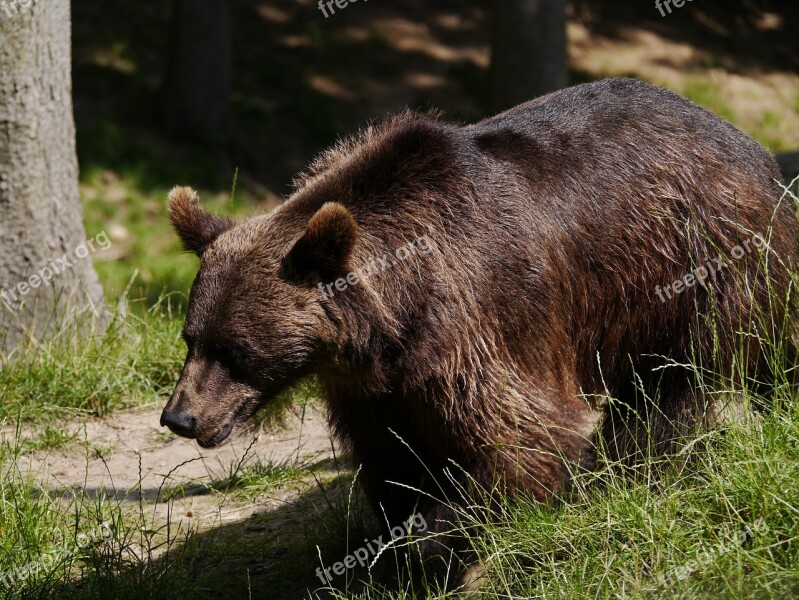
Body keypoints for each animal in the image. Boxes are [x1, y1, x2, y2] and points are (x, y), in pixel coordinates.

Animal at [159, 78, 796, 584]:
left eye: (235, 349)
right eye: (191, 338)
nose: (180, 417)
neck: (395, 321)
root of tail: (749, 144)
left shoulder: (481, 321)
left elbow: (522, 439)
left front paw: (436, 543)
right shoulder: (378, 386)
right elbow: (393, 460)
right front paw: (391, 544)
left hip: (697, 261)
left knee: (681, 385)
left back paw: (634, 465)